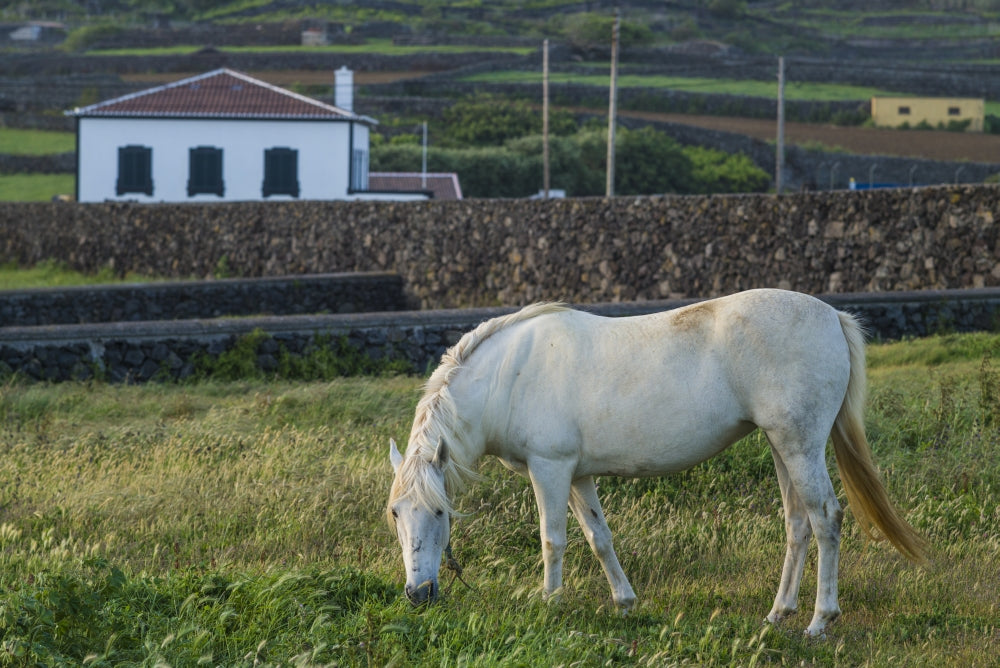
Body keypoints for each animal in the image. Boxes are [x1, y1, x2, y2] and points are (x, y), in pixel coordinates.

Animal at [386, 289, 928, 636]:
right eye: (395, 514)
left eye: (440, 512)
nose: (418, 593)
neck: (509, 375)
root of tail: (833, 315)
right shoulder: (580, 475)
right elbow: (599, 538)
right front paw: (624, 603)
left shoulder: (551, 469)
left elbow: (553, 539)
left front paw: (550, 603)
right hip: (783, 447)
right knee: (798, 525)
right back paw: (779, 614)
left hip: (800, 446)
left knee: (826, 520)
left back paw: (820, 620)